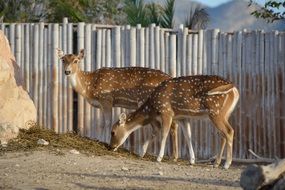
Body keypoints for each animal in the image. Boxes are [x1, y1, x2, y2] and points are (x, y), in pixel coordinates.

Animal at [55, 48, 193, 161]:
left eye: (76, 60)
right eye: (63, 60)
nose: (67, 71)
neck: (89, 87)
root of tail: (169, 78)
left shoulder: (107, 99)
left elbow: (107, 122)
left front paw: (104, 141)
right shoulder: (102, 104)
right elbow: (102, 123)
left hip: (150, 102)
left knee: (170, 125)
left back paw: (172, 156)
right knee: (174, 124)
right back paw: (173, 156)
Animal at [110, 75, 239, 168]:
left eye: (113, 132)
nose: (111, 147)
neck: (153, 107)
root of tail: (234, 89)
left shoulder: (167, 112)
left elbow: (164, 133)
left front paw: (158, 158)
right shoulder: (182, 117)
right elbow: (188, 136)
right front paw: (192, 160)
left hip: (216, 112)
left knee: (229, 131)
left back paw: (226, 164)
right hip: (224, 114)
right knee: (222, 134)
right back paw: (216, 163)